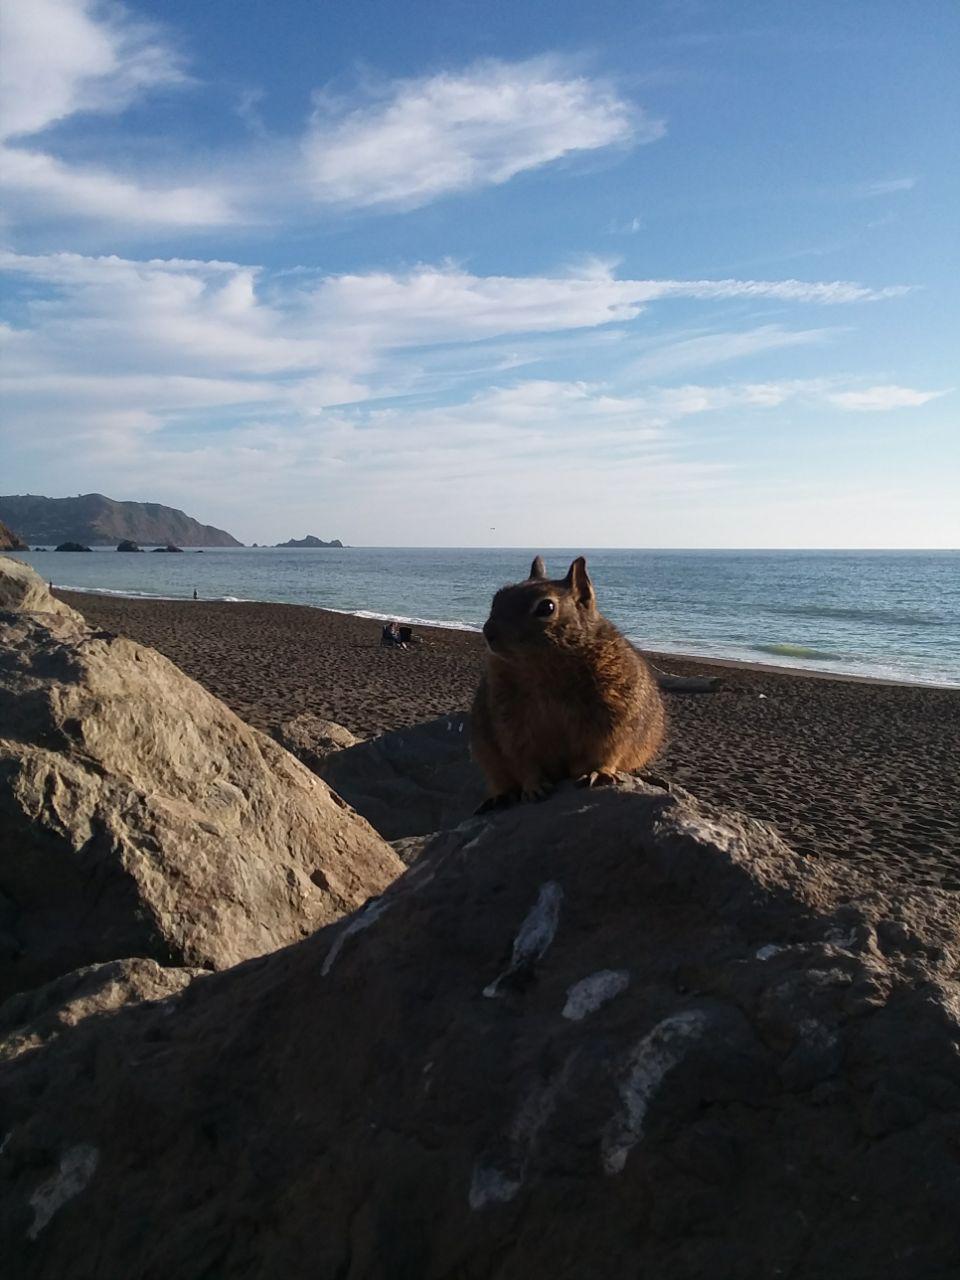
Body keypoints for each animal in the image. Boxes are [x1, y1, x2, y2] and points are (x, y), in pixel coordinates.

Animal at [471, 552, 665, 808]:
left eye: (546, 607)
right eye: (497, 597)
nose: (488, 632)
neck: (543, 667)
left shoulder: (615, 713)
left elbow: (608, 749)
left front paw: (597, 772)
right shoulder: (510, 721)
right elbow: (523, 760)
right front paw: (534, 786)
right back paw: (500, 797)